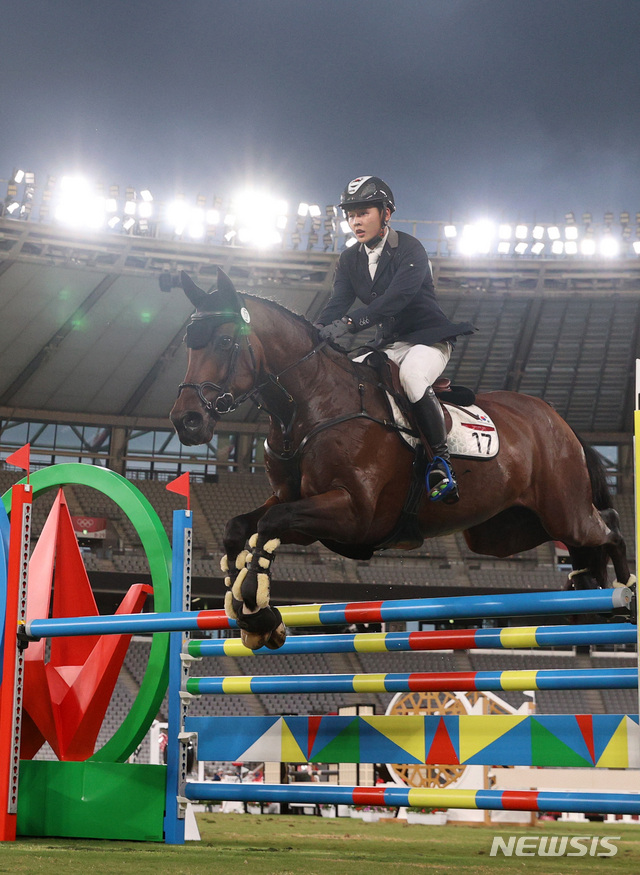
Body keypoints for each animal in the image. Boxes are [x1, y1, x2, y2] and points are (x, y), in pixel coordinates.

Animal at [170, 272, 636, 652]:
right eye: (187, 346)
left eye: (225, 342)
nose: (186, 421)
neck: (307, 406)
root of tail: (559, 420)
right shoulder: (303, 511)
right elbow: (240, 528)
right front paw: (253, 614)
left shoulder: (354, 514)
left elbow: (268, 525)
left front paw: (257, 609)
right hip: (502, 531)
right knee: (582, 539)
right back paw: (586, 582)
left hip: (562, 510)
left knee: (609, 524)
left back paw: (623, 594)